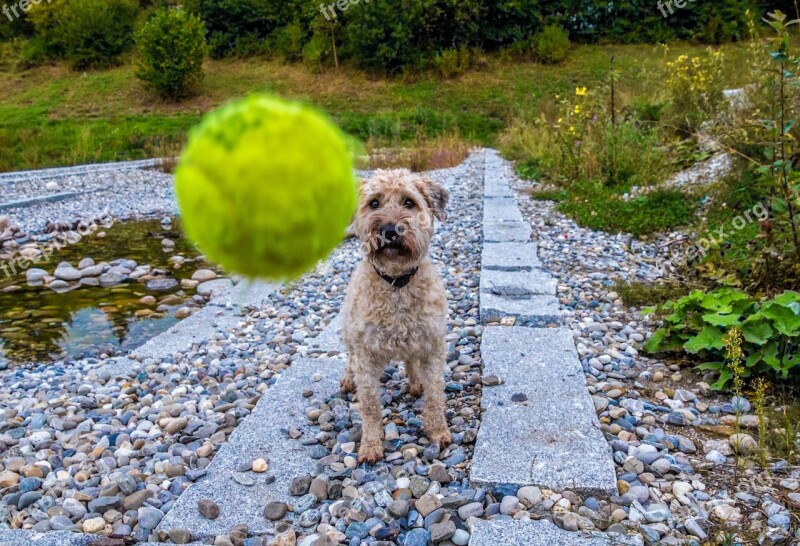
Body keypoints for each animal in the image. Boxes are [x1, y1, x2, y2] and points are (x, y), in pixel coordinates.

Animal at [340, 168, 450, 462]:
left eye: (409, 202)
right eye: (374, 203)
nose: (389, 231)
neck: (397, 283)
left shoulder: (433, 347)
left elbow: (435, 395)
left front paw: (438, 432)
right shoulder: (365, 356)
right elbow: (369, 407)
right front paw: (370, 445)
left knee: (411, 362)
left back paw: (415, 382)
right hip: (349, 335)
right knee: (349, 358)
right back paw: (347, 379)